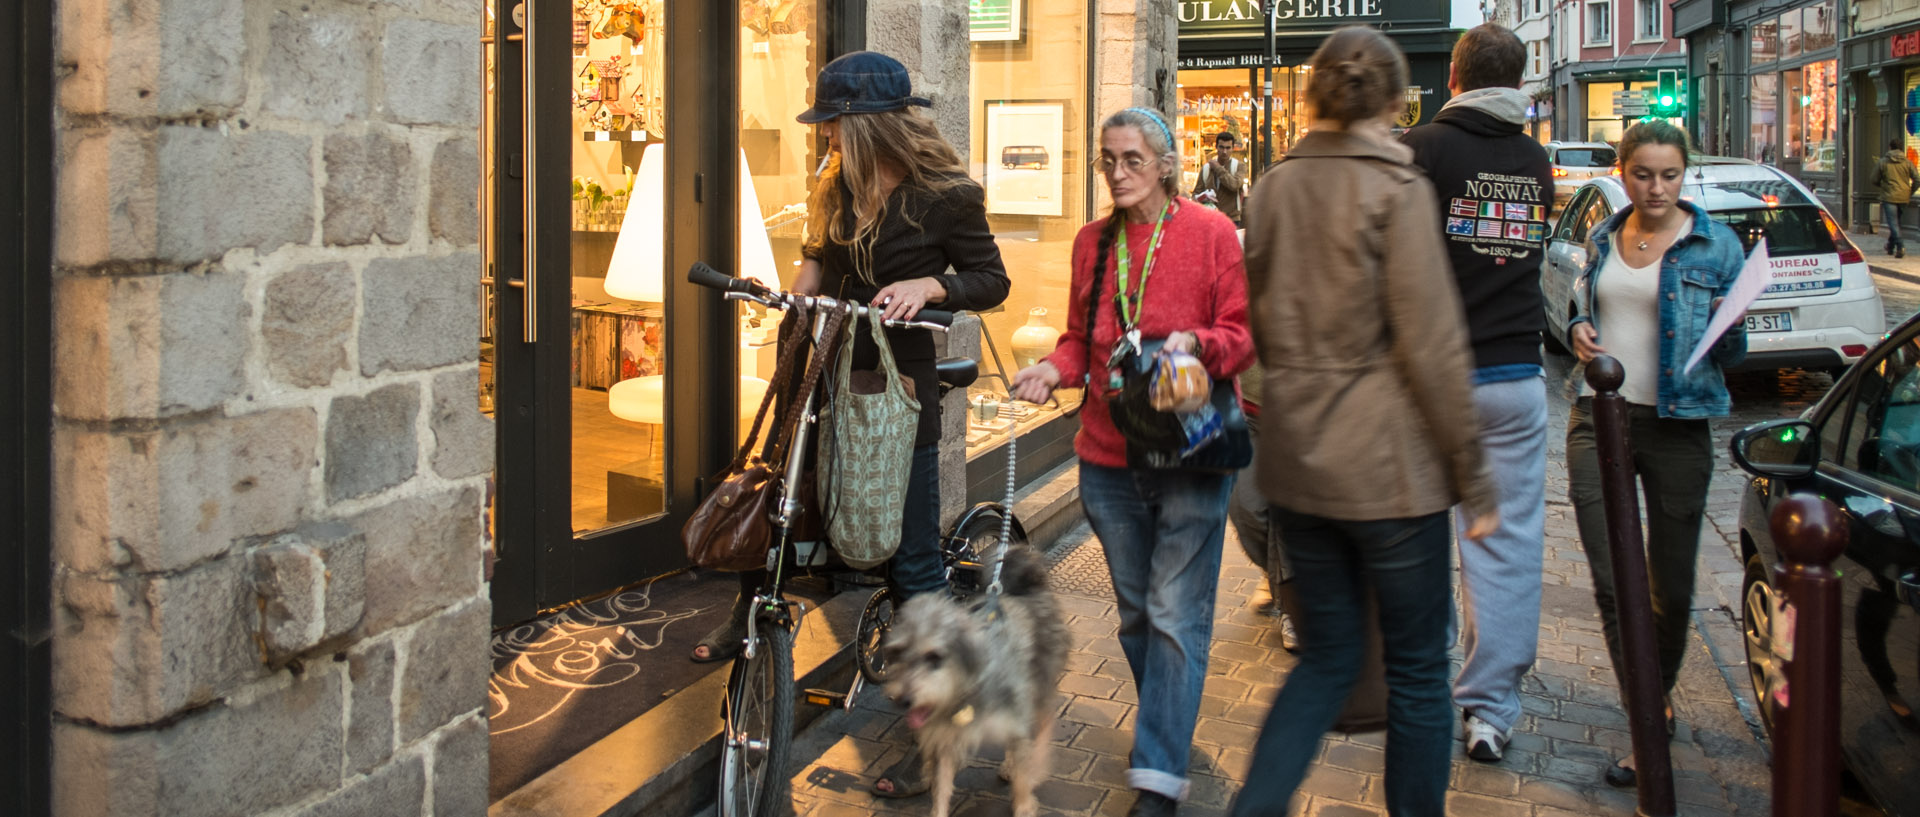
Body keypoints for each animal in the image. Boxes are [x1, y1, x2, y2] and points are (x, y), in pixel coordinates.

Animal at [879, 544, 1075, 817]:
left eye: (934, 657)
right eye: (897, 652)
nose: (903, 700)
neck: (967, 689)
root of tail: (1028, 583)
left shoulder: (1016, 716)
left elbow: (1023, 775)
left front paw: (1024, 804)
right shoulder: (944, 739)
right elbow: (941, 787)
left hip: (1039, 684)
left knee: (1043, 725)